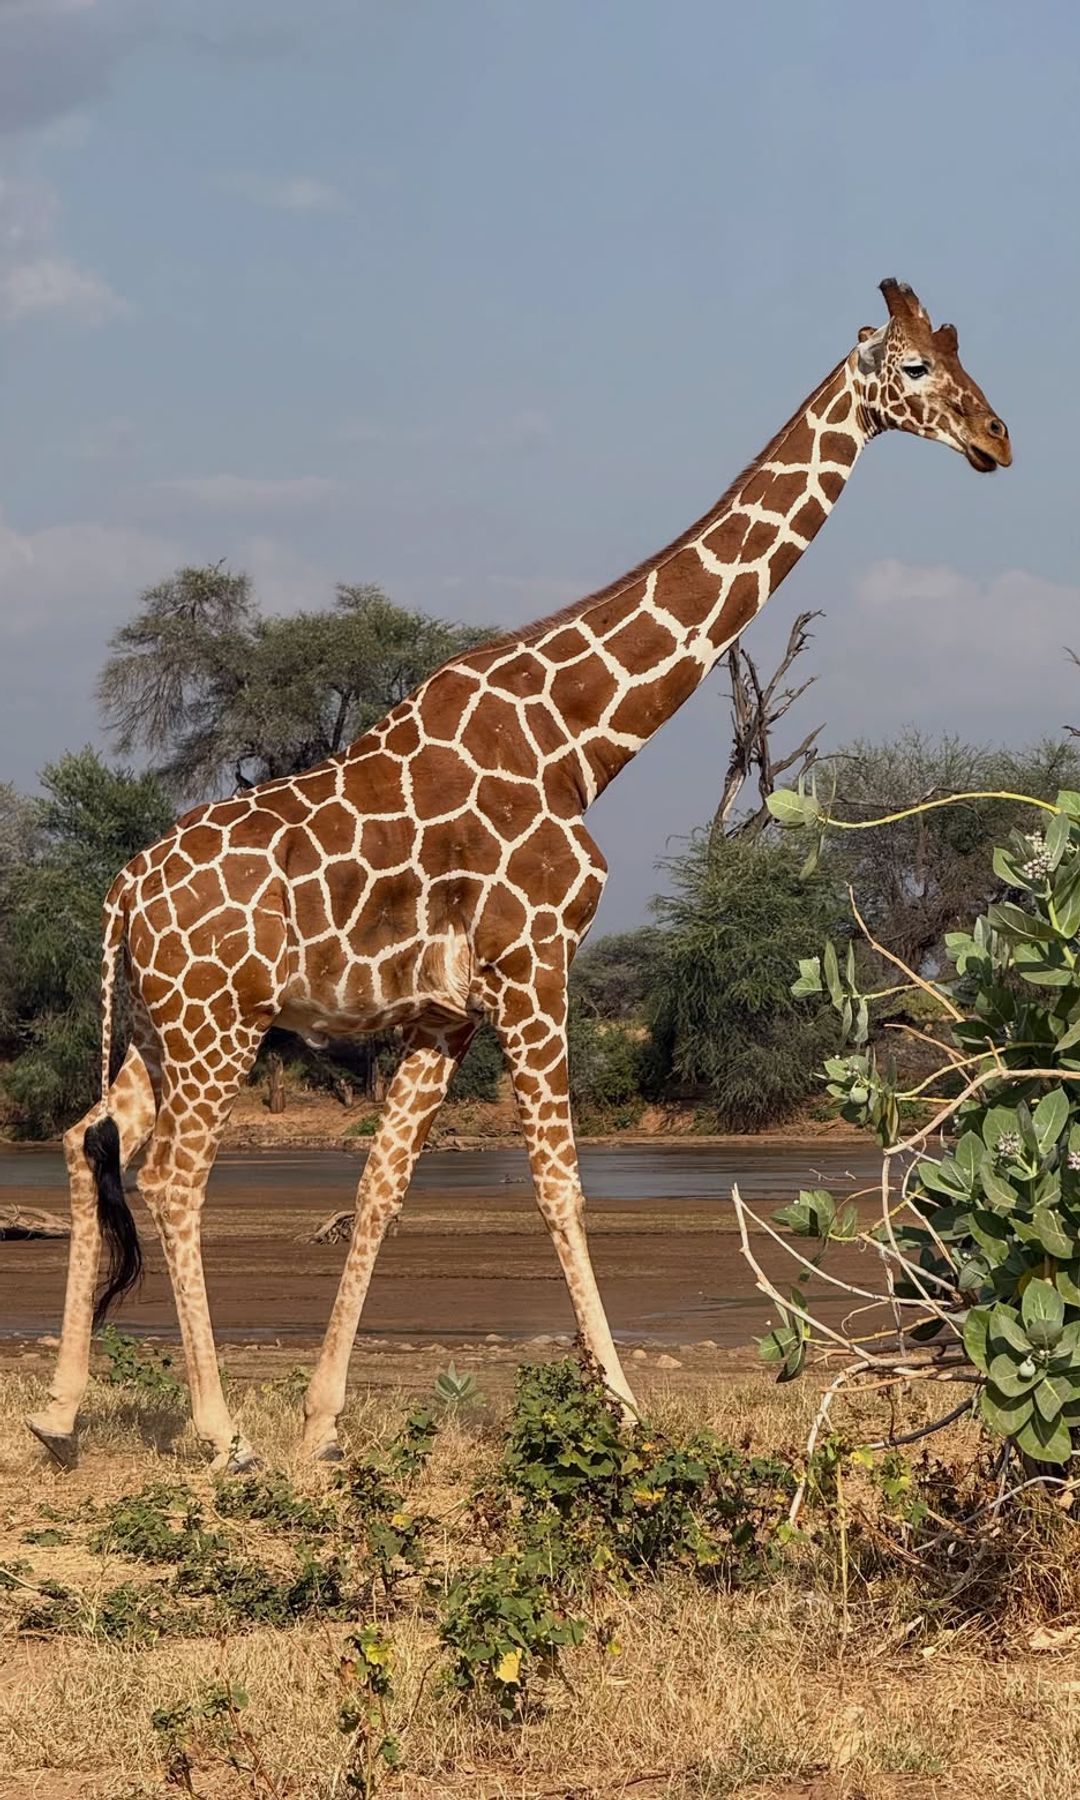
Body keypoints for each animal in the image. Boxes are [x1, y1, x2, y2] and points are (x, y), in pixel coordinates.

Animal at [29, 278, 1010, 1471]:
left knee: (89, 1142)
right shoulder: (537, 963)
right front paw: (626, 1407)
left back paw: (60, 1412)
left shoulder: (442, 1013)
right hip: (220, 1022)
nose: (997, 438)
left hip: (153, 1026)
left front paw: (322, 1420)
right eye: (915, 368)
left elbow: (382, 1190)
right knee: (171, 1177)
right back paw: (218, 1431)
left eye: (958, 357)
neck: (581, 739)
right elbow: (560, 1187)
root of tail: (122, 892)